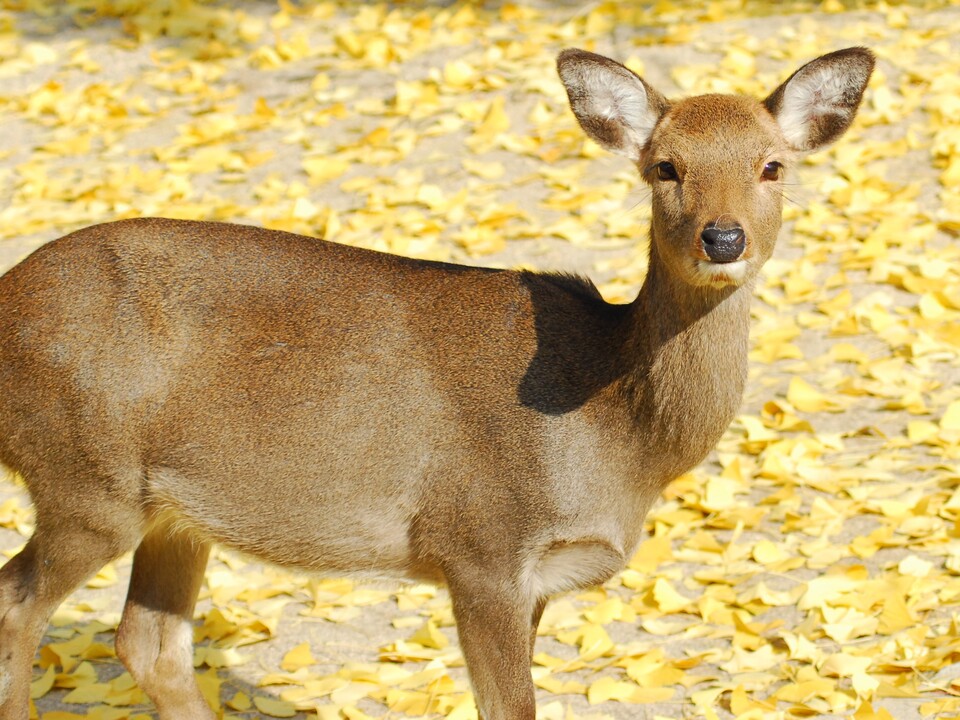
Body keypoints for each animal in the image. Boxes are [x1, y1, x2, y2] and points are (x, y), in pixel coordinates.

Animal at [0, 46, 872, 720]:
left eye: (772, 166)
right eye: (666, 165)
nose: (723, 238)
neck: (618, 435)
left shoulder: (534, 578)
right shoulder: (481, 545)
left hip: (174, 512)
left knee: (148, 642)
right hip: (84, 476)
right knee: (18, 603)